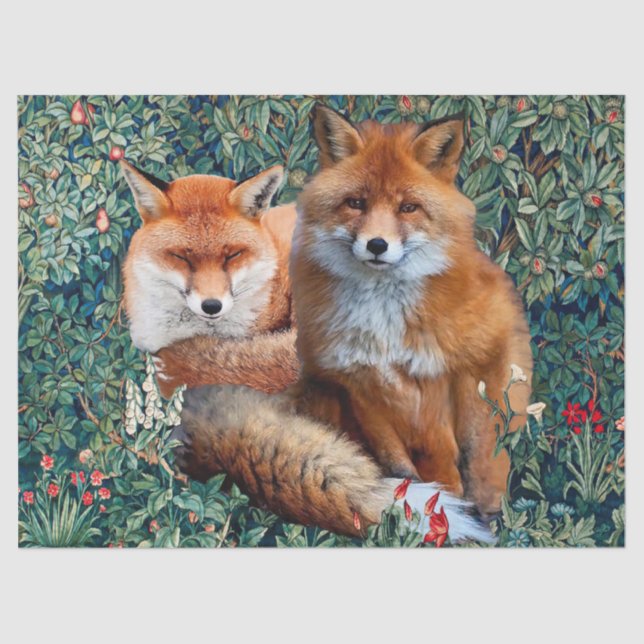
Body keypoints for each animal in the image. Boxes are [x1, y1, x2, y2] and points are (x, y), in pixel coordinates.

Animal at [173, 105, 533, 541]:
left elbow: (473, 455)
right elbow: (401, 467)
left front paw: (479, 511)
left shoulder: (470, 367)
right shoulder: (356, 383)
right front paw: (419, 514)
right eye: (356, 203)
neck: (386, 324)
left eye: (408, 208)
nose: (377, 245)